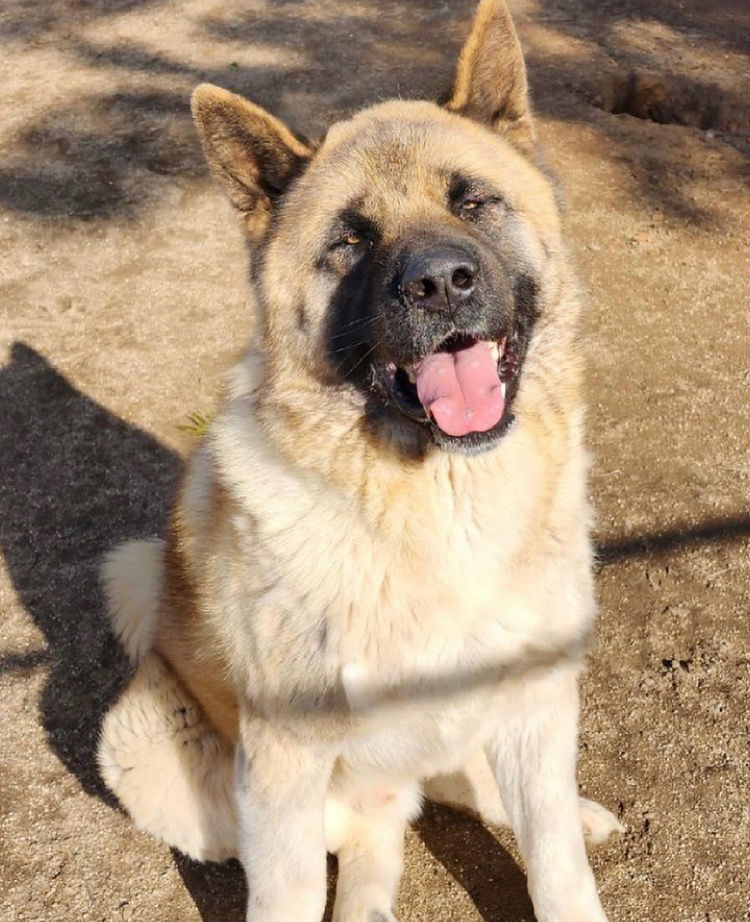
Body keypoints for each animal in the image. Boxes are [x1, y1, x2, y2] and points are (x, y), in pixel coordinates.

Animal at [97, 3, 624, 916]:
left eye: (474, 201)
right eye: (349, 241)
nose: (441, 284)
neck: (439, 504)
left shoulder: (534, 705)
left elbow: (556, 864)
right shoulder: (283, 766)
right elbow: (289, 894)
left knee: (491, 797)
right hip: (152, 751)